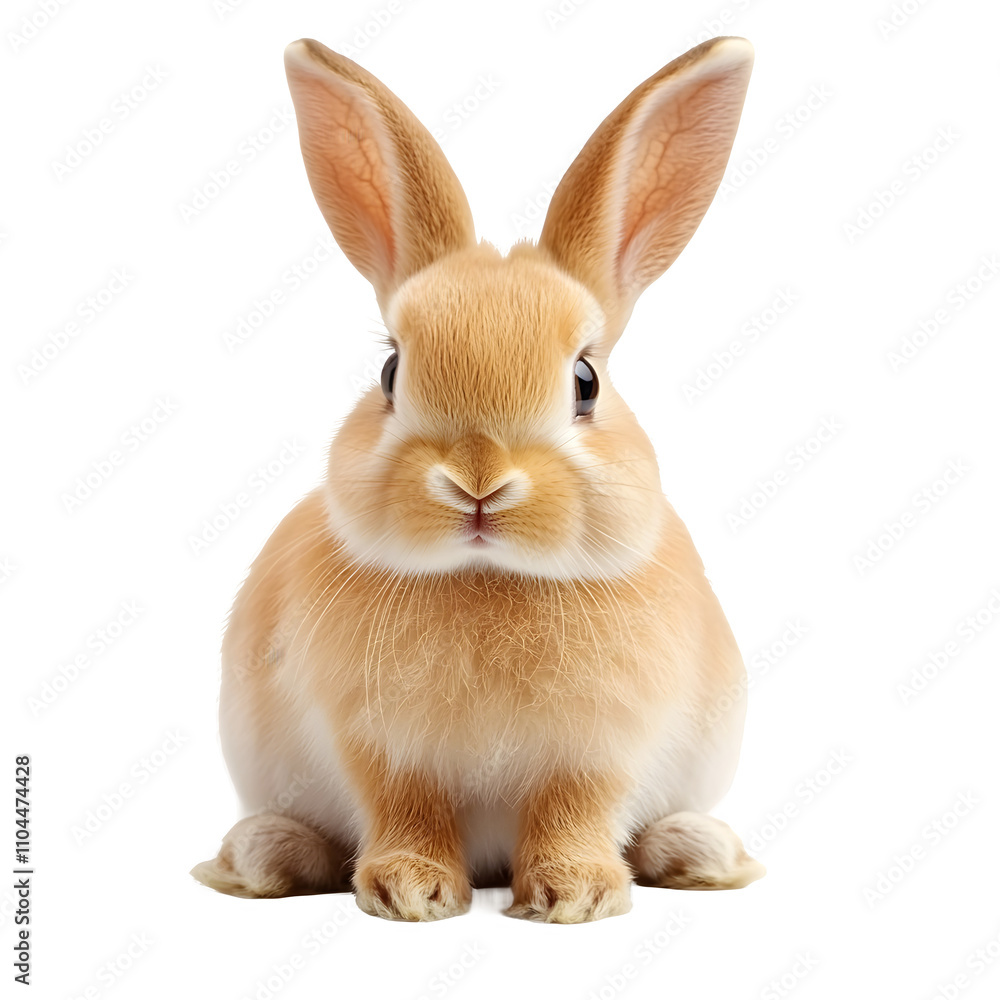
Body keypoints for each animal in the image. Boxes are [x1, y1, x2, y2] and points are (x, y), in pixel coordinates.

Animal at [191, 34, 764, 923]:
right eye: (391, 373)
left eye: (585, 382)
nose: (477, 482)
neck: (488, 577)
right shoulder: (380, 746)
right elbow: (406, 809)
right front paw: (410, 891)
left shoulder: (596, 751)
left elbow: (574, 810)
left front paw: (576, 895)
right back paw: (264, 855)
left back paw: (697, 851)